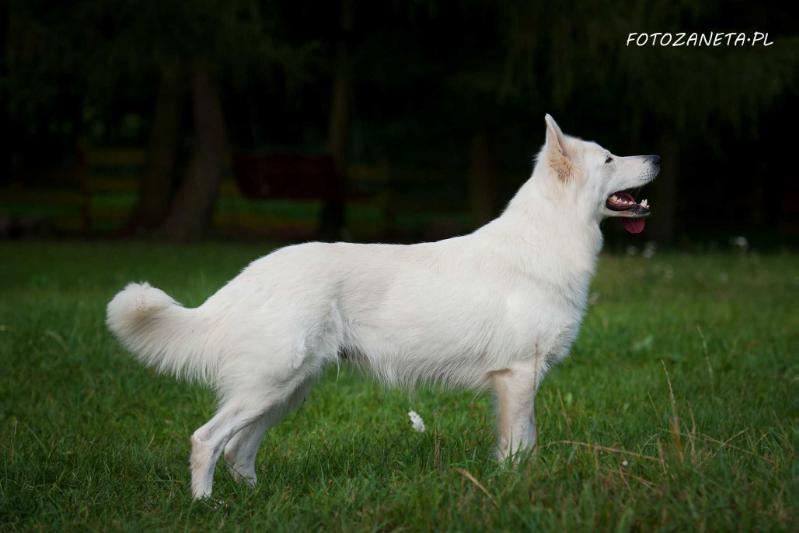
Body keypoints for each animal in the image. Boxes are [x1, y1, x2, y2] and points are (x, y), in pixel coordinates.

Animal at [108, 114, 664, 496]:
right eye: (609, 159)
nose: (658, 159)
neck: (547, 238)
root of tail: (251, 276)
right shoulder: (518, 377)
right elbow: (518, 447)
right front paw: (514, 491)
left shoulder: (518, 381)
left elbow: (523, 444)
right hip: (271, 384)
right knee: (207, 441)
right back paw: (209, 507)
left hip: (286, 391)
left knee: (239, 452)